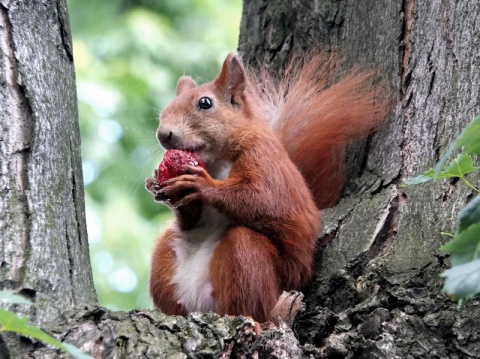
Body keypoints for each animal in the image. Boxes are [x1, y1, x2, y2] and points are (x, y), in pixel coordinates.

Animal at [143, 53, 386, 324]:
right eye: (165, 110)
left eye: (205, 103)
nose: (163, 135)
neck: (217, 162)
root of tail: (201, 302)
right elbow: (191, 220)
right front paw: (163, 187)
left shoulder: (265, 159)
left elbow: (262, 198)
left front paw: (202, 184)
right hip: (165, 258)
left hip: (251, 260)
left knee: (250, 294)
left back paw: (271, 316)